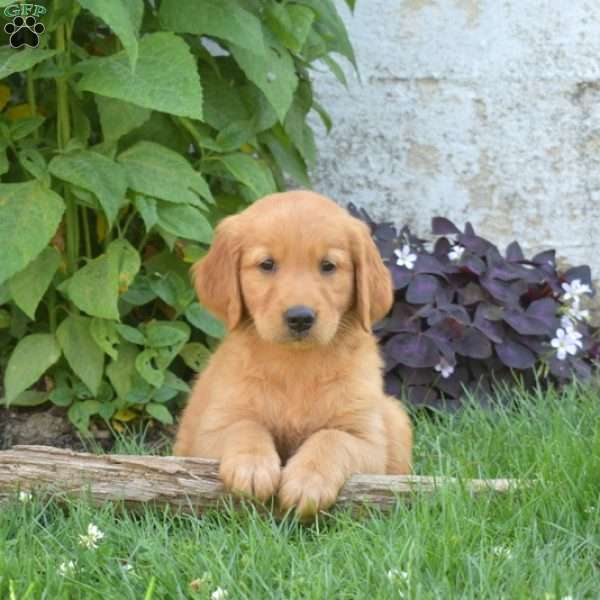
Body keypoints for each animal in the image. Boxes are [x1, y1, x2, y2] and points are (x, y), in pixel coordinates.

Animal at [173, 191, 412, 516]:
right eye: (267, 264)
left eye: (328, 266)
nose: (300, 318)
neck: (296, 365)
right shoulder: (211, 430)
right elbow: (245, 426)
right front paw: (252, 467)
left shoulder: (367, 441)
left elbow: (331, 438)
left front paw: (308, 482)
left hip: (395, 416)